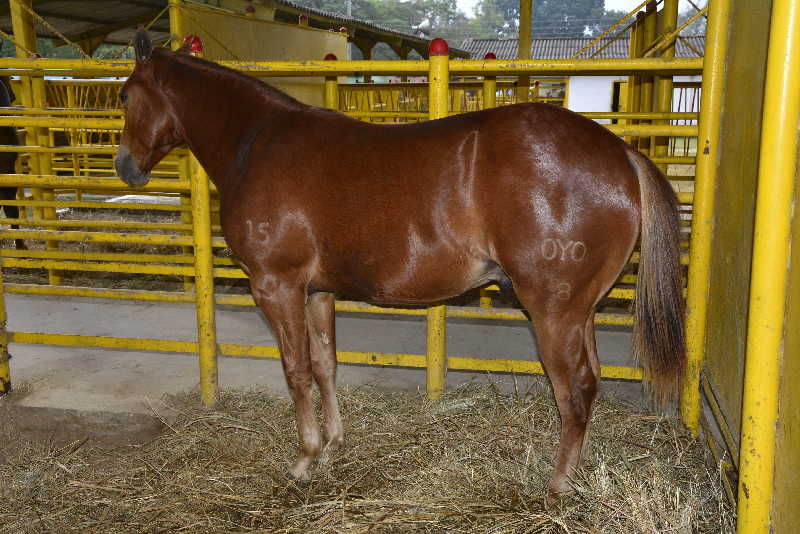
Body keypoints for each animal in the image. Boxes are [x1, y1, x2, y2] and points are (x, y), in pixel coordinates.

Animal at [115, 31, 684, 500]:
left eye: (123, 96)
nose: (125, 168)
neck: (258, 141)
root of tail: (619, 153)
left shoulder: (276, 286)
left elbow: (296, 370)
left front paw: (304, 458)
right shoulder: (317, 291)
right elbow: (324, 364)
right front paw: (333, 444)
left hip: (553, 313)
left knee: (576, 390)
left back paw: (558, 484)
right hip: (579, 312)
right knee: (590, 385)